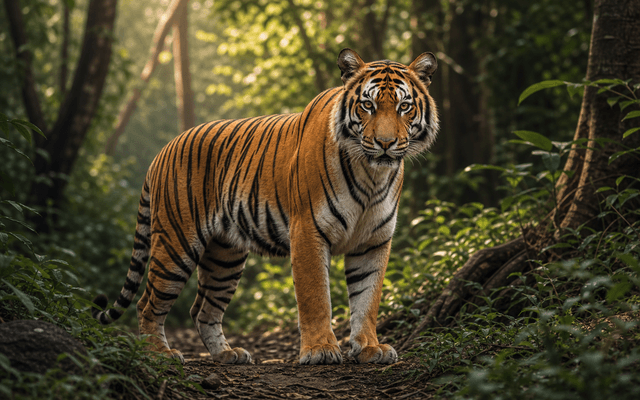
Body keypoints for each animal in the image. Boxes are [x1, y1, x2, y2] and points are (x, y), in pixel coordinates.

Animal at [92, 48, 438, 365]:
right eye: (368, 105)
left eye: (404, 106)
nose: (385, 144)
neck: (372, 174)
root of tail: (162, 151)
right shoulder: (308, 231)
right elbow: (316, 297)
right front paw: (320, 350)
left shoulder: (373, 241)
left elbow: (368, 299)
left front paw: (369, 347)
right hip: (176, 244)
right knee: (147, 303)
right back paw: (159, 354)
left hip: (225, 256)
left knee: (202, 309)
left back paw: (227, 354)